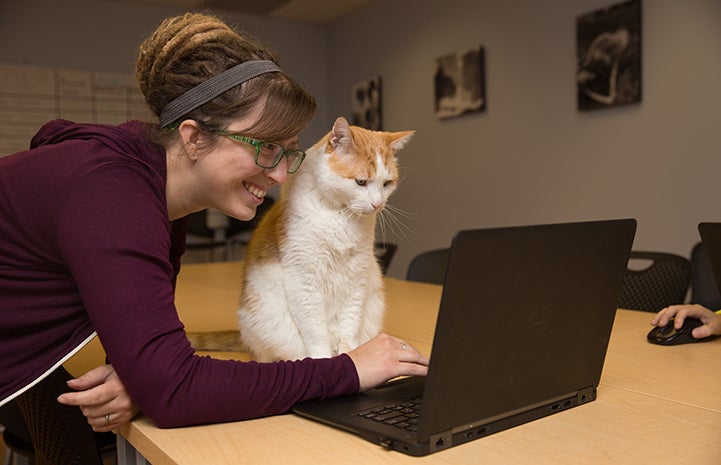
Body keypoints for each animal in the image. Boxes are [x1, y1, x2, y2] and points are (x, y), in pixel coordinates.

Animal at [238, 115, 414, 358]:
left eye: (387, 183)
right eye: (361, 182)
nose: (378, 204)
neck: (340, 215)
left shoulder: (357, 276)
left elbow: (350, 326)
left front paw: (351, 354)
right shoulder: (304, 279)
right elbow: (315, 333)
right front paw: (326, 359)